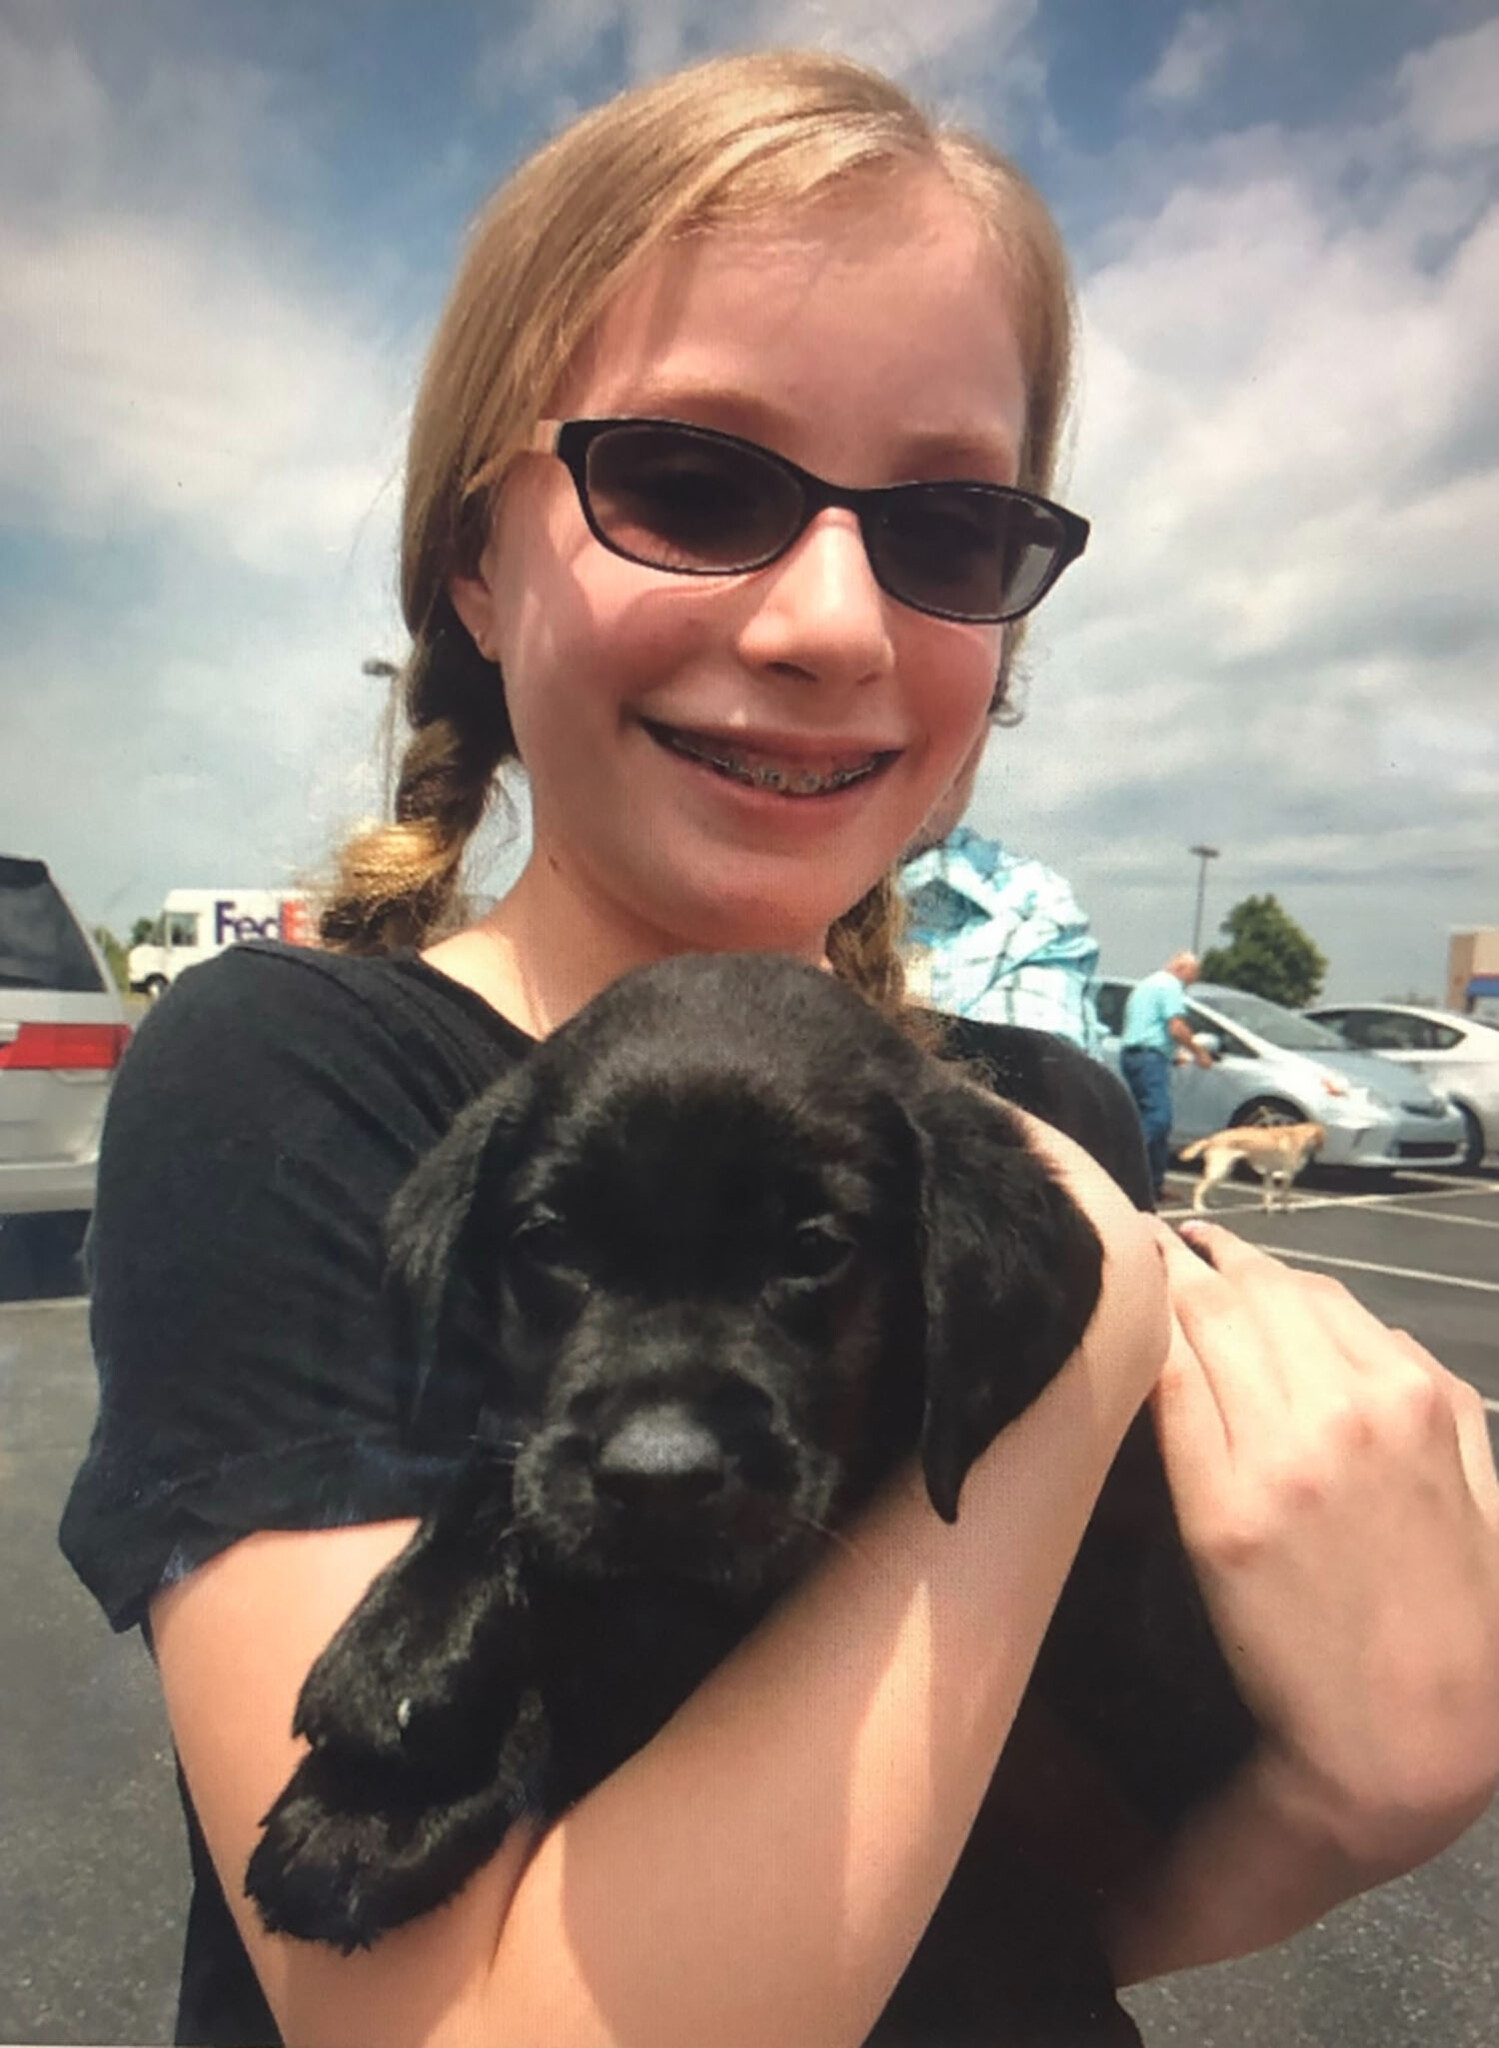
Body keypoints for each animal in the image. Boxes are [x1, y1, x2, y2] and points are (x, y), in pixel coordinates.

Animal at [248, 954, 1253, 2015]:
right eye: (549, 1241)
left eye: (814, 1250)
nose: (657, 1477)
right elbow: (520, 1480)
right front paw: (401, 1654)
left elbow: (612, 1649)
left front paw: (378, 1805)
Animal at [1179, 1130, 1326, 1204]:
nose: (1323, 1148)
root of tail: (1211, 1139)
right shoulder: (1286, 1174)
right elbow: (1284, 1195)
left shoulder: (1270, 1173)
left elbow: (1270, 1193)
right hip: (1218, 1169)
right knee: (1199, 1187)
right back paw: (1199, 1208)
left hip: (1224, 1170)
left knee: (1209, 1187)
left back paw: (1213, 1202)